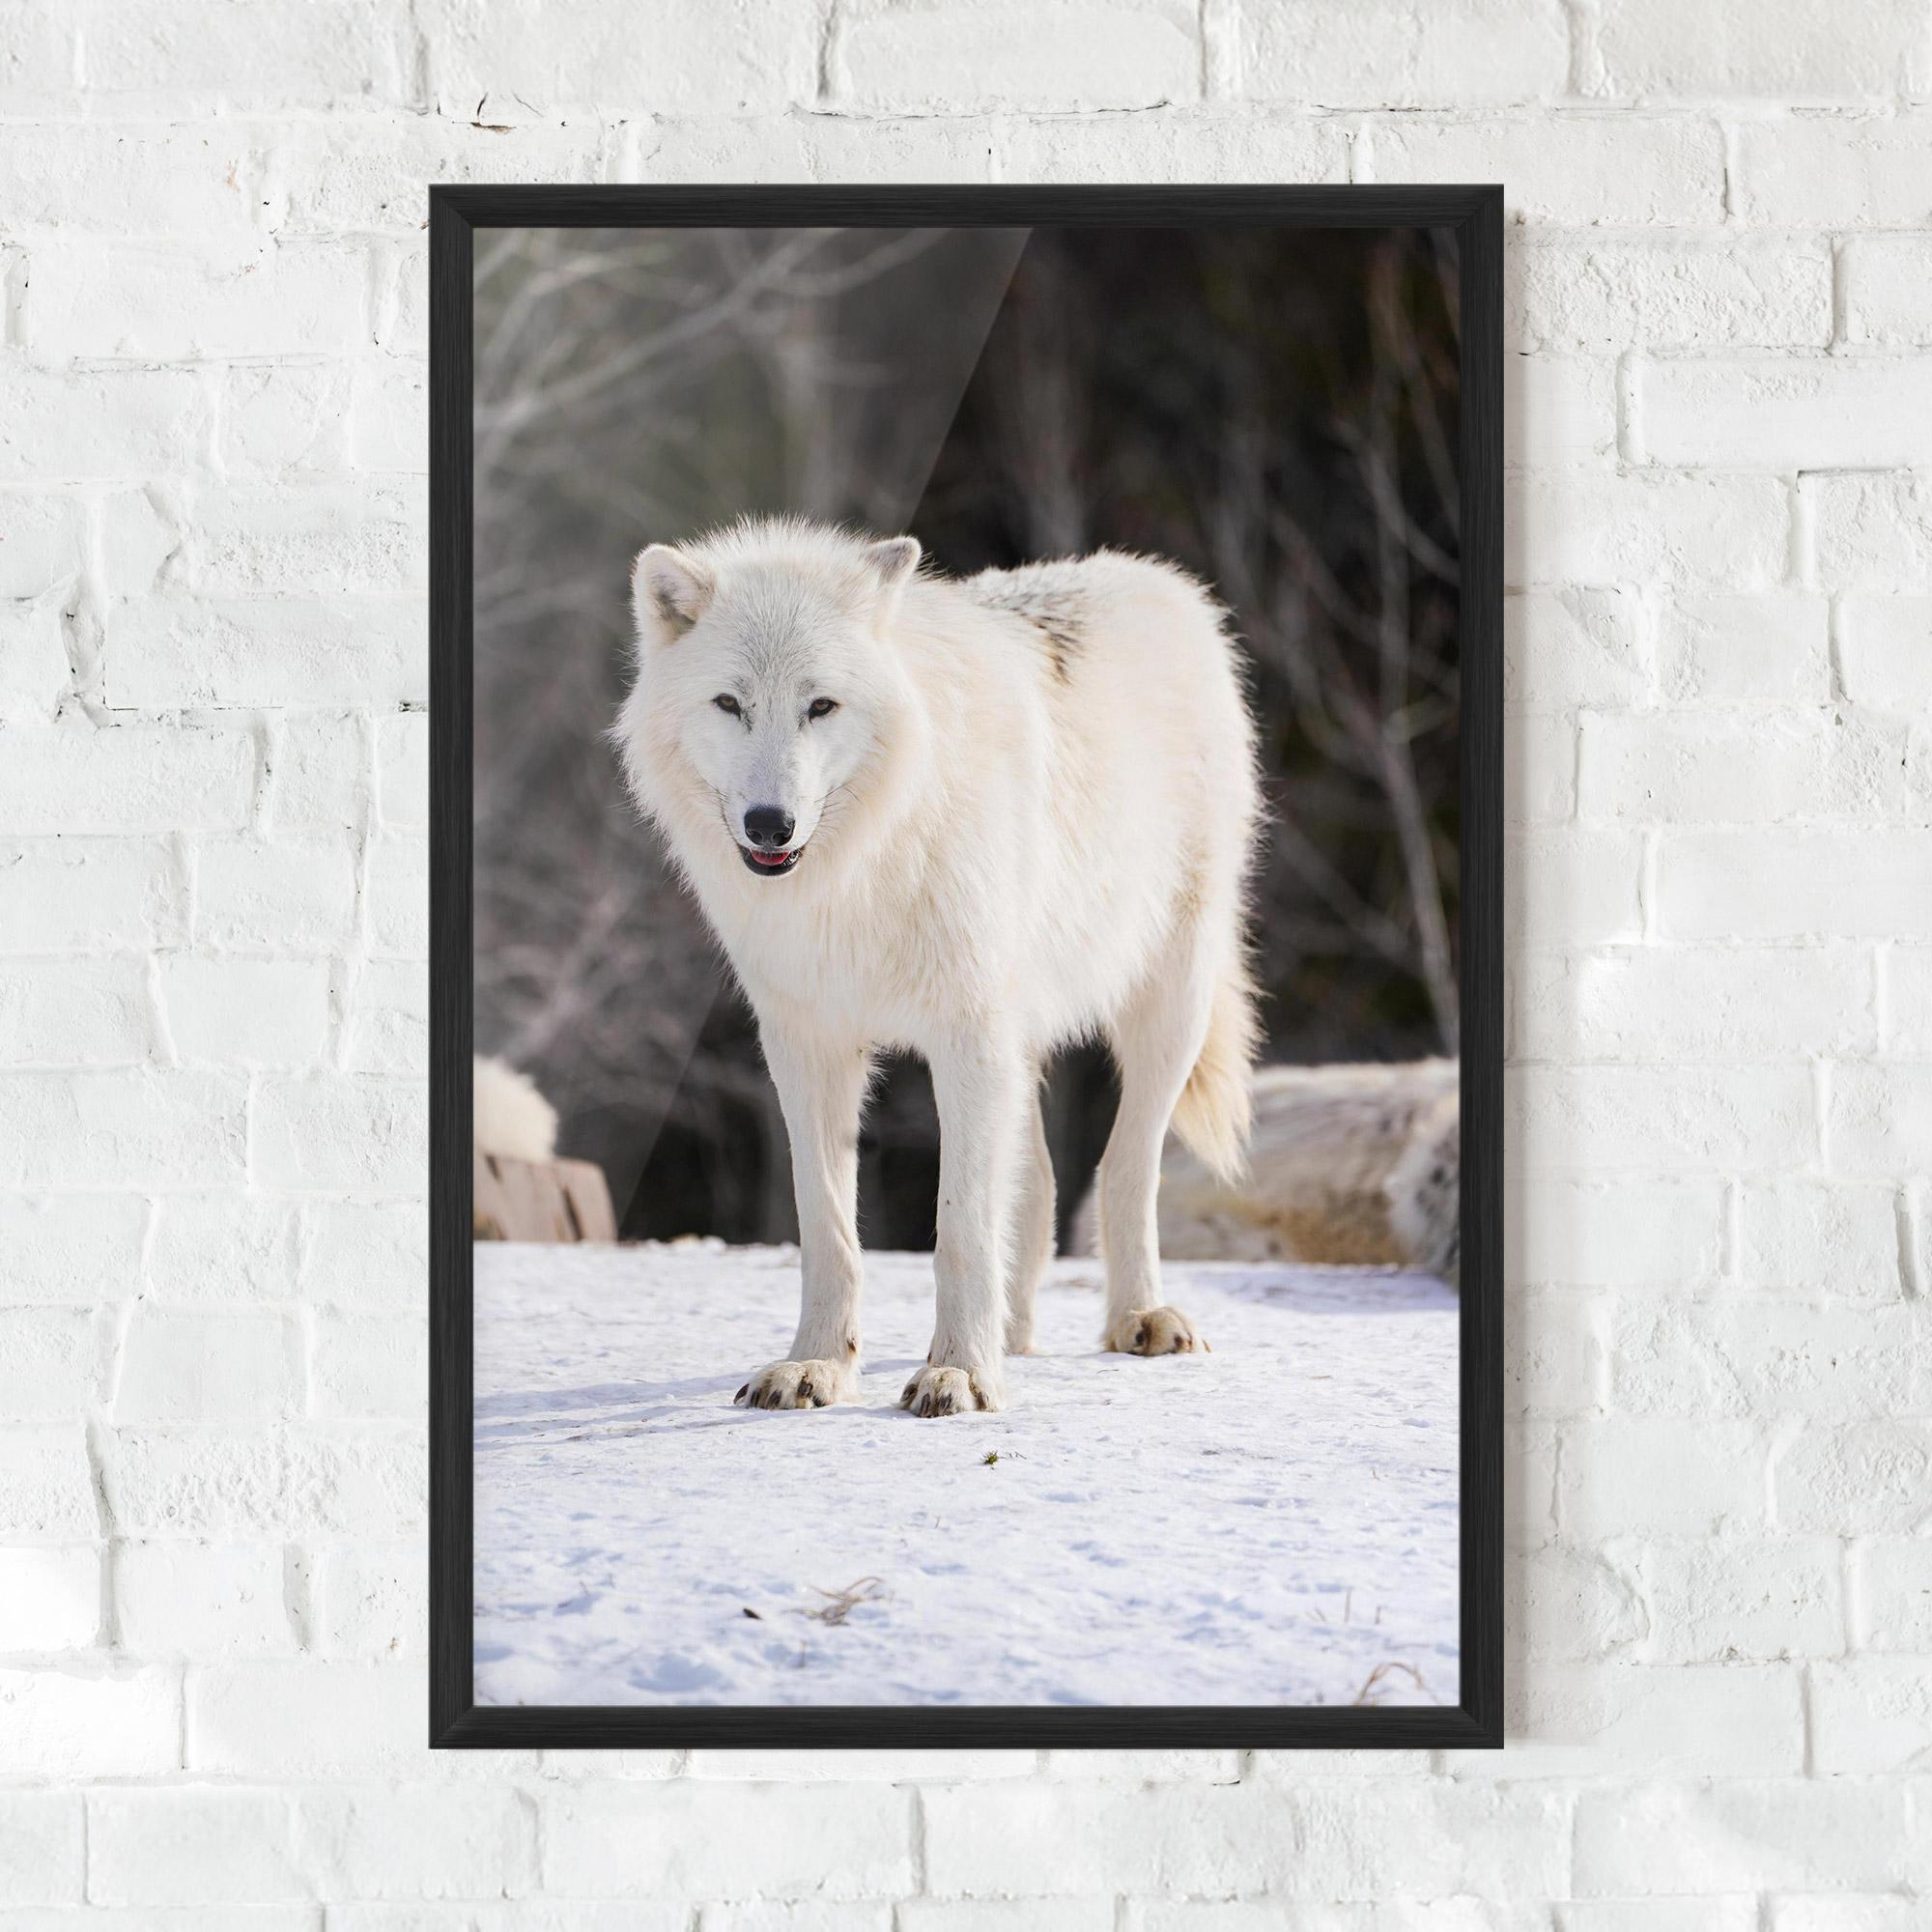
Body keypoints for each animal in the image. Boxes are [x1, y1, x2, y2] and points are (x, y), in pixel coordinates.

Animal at [614, 518, 1260, 1416]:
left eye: (821, 705)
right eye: (729, 704)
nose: (770, 824)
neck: (858, 873)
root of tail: (1159, 581)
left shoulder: (968, 1037)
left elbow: (958, 1226)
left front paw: (959, 1372)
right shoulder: (806, 1045)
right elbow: (828, 1226)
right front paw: (817, 1364)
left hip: (1168, 1006)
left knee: (1126, 1167)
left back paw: (1139, 1318)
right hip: (1025, 1041)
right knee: (1040, 1185)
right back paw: (1015, 1335)